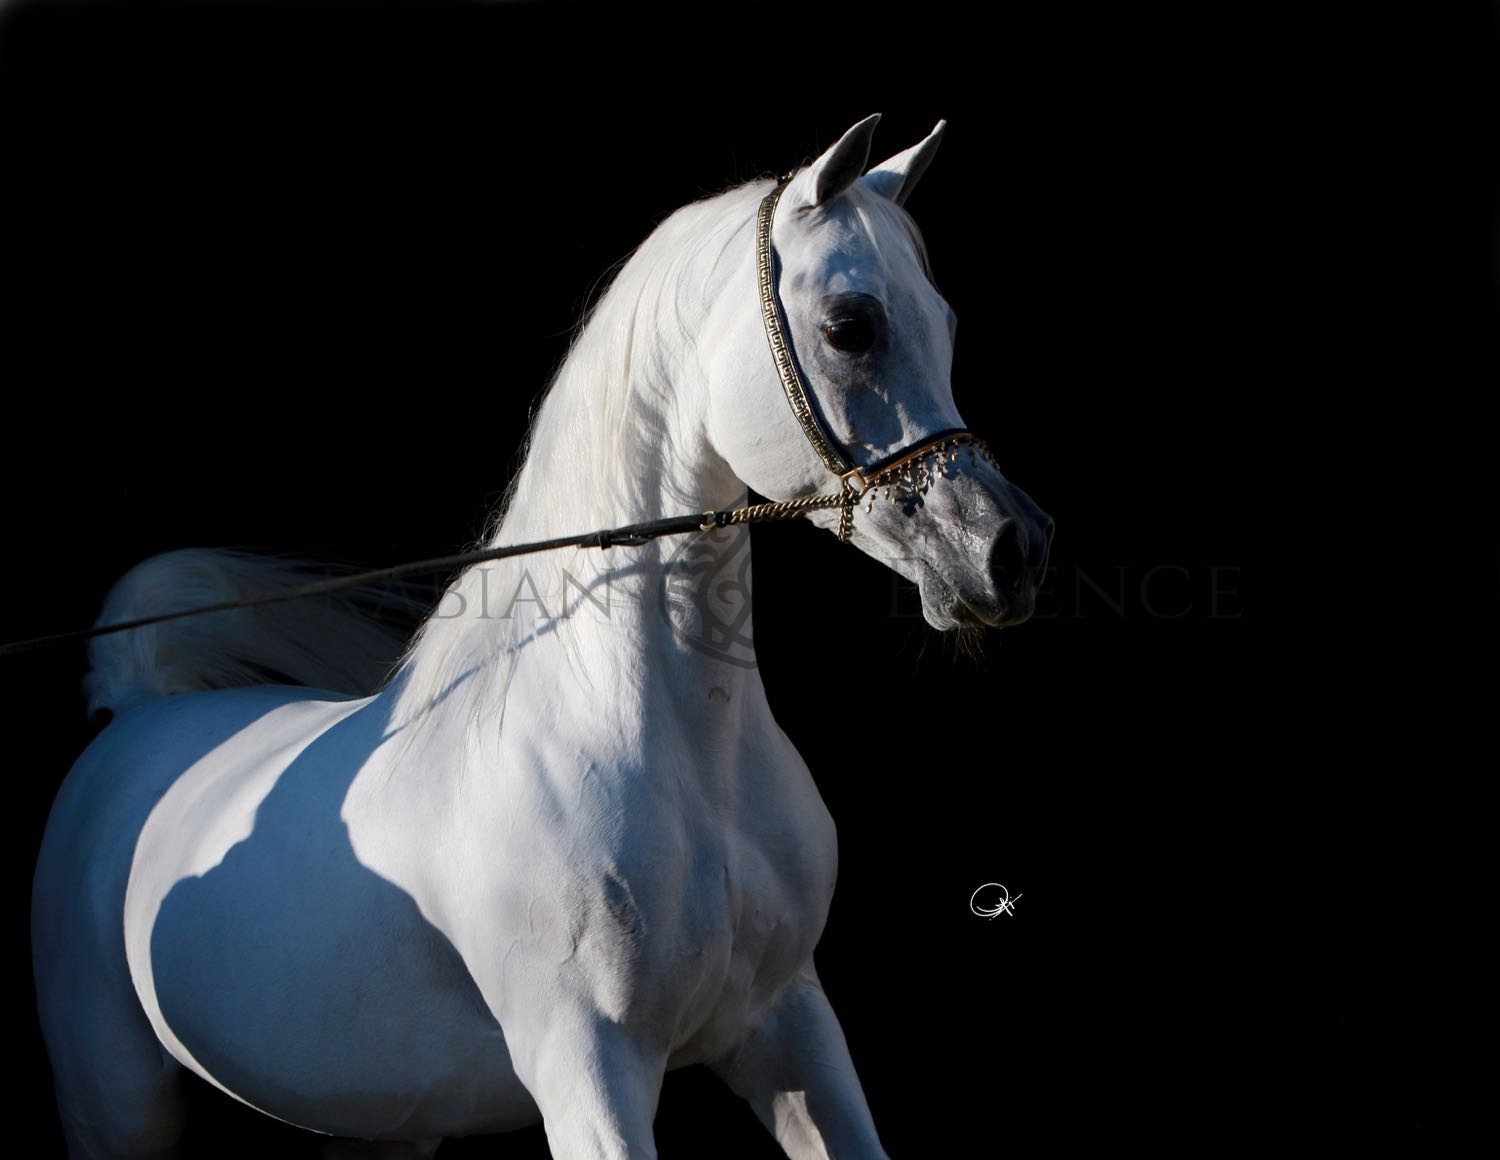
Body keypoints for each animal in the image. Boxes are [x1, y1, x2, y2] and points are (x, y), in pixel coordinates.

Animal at [32, 114, 1053, 1159]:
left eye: (946, 322)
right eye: (852, 325)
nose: (1009, 551)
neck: (670, 755)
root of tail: (136, 717)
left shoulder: (790, 1028)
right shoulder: (589, 1067)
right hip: (117, 1107)